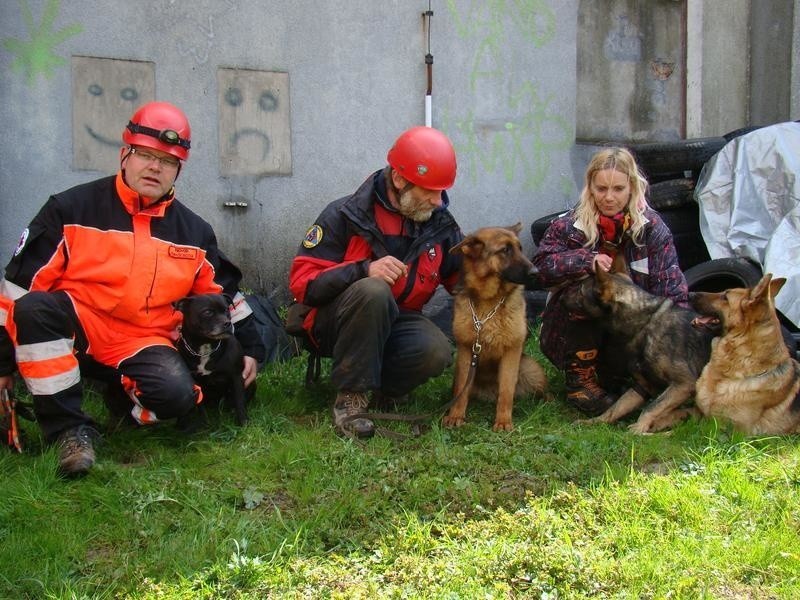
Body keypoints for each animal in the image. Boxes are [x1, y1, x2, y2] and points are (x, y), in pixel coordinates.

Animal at [444, 224, 552, 432]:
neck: (489, 300)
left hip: (529, 367)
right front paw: (456, 415)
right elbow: (462, 390)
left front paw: (503, 421)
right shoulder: (466, 350)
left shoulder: (511, 351)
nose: (536, 272)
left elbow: (506, 391)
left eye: (520, 248)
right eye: (505, 250)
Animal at [564, 255, 716, 434]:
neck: (644, 323)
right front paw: (594, 422)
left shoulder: (684, 384)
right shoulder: (642, 387)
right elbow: (615, 409)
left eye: (579, 290)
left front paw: (639, 427)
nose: (560, 297)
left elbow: (652, 407)